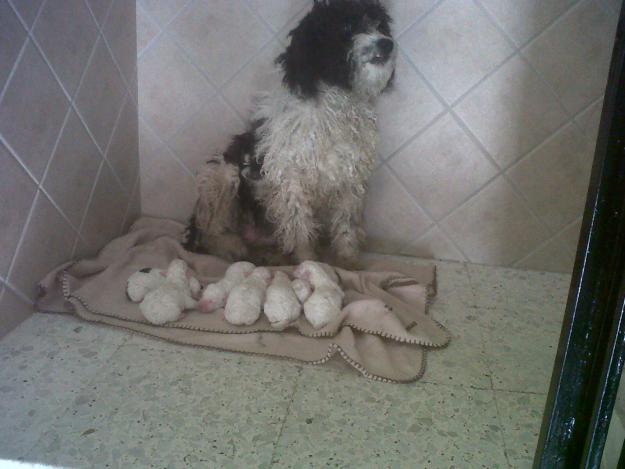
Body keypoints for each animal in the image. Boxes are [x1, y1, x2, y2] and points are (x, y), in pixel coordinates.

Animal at [185, 0, 398, 266]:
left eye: (379, 26)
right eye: (347, 27)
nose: (387, 44)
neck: (336, 104)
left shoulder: (351, 179)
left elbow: (346, 226)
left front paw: (347, 262)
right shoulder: (291, 179)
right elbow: (300, 227)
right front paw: (308, 261)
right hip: (222, 174)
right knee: (210, 230)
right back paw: (232, 247)